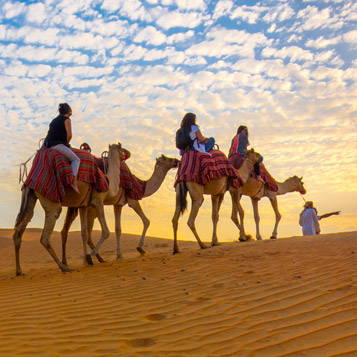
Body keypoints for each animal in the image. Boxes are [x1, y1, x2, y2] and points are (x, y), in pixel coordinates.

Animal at [12, 143, 126, 276]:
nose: (125, 157)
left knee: (21, 228)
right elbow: (106, 231)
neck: (109, 183)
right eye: (122, 150)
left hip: (30, 196)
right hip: (50, 197)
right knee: (46, 235)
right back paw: (64, 267)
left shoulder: (83, 206)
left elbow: (84, 233)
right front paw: (89, 258)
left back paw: (19, 271)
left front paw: (86, 261)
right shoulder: (98, 201)